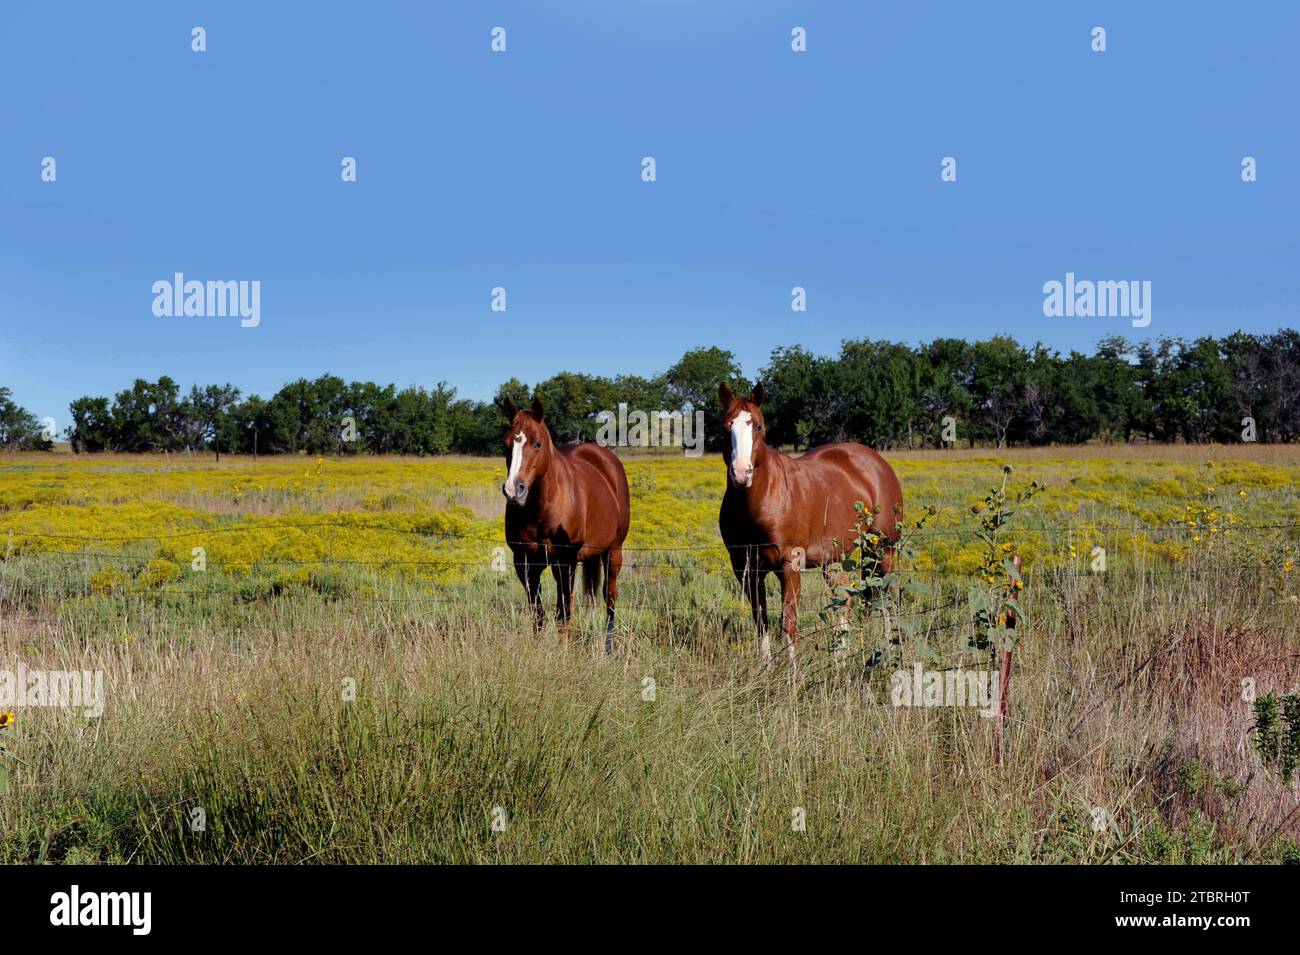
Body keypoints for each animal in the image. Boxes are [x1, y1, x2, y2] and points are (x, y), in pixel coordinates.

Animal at [501, 395, 631, 650]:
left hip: (613, 551)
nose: (513, 491)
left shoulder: (565, 561)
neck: (543, 506)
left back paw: (608, 647)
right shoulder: (525, 563)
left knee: (609, 599)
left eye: (537, 444)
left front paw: (562, 653)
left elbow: (563, 613)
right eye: (506, 444)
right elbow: (538, 613)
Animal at [717, 381, 904, 666]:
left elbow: (788, 622)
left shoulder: (789, 565)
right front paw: (765, 669)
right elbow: (761, 620)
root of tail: (878, 463)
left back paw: (888, 648)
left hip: (884, 548)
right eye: (727, 426)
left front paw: (792, 673)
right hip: (835, 558)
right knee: (843, 600)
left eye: (757, 425)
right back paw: (840, 658)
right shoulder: (746, 569)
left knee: (886, 596)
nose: (741, 474)